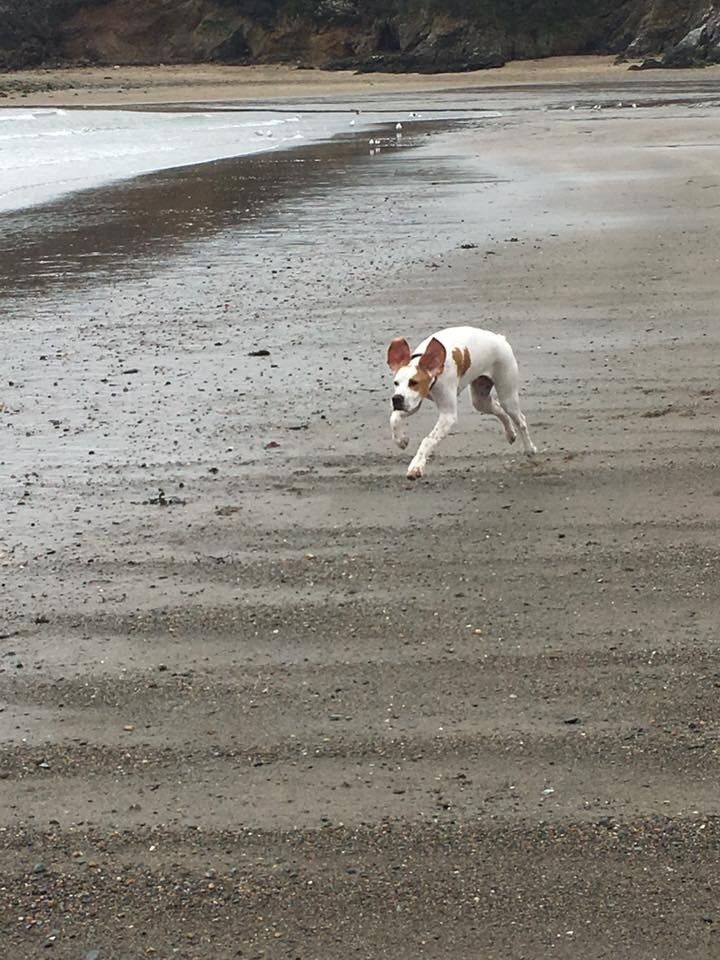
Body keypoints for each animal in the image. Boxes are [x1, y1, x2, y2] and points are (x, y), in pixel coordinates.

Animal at [387, 325, 536, 479]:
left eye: (413, 382)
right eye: (396, 383)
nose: (396, 398)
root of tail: (500, 338)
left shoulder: (448, 415)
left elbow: (428, 440)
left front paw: (416, 466)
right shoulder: (413, 403)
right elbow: (394, 418)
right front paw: (400, 439)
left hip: (507, 394)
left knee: (521, 420)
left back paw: (530, 449)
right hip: (480, 399)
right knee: (500, 411)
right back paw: (510, 434)